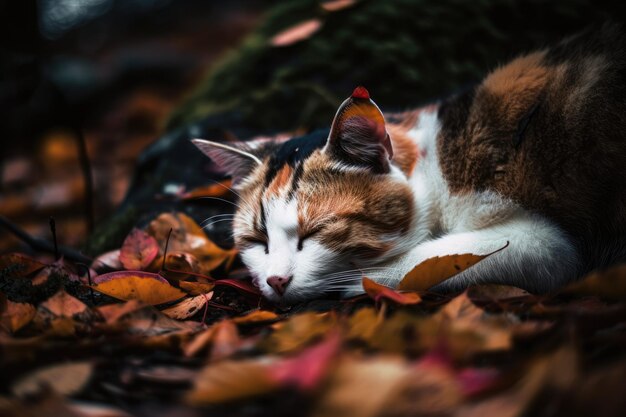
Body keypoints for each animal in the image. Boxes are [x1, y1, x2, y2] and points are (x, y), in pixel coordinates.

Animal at [193, 22, 620, 302]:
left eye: (316, 231)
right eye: (256, 241)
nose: (277, 281)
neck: (438, 159)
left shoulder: (544, 244)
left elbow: (428, 256)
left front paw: (357, 280)